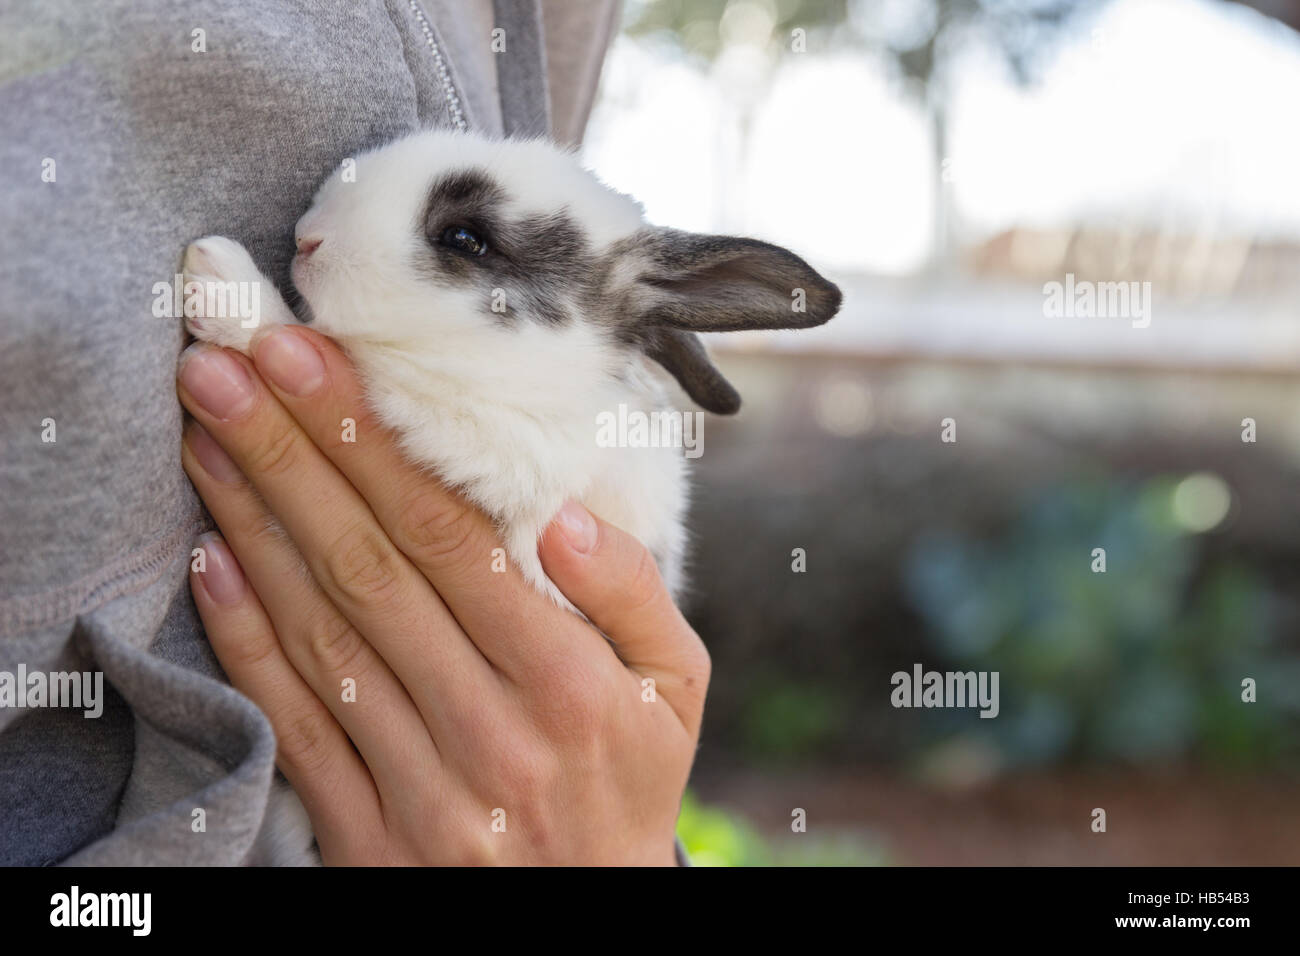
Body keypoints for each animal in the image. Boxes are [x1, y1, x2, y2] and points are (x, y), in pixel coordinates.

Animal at [181, 129, 841, 611]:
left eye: (464, 237)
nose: (306, 237)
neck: (521, 381)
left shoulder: (473, 440)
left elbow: (332, 350)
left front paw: (222, 284)